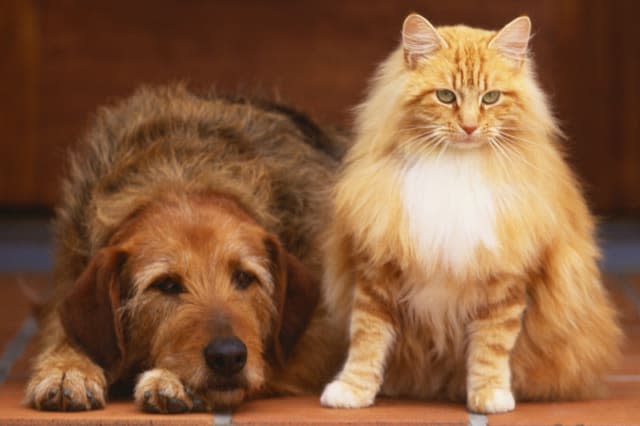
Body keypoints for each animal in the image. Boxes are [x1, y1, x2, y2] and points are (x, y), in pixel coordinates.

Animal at [25, 85, 342, 414]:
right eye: (166, 284)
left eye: (244, 277)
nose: (228, 356)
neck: (181, 173)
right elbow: (68, 335)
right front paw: (68, 369)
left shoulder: (317, 345)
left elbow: (271, 364)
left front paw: (175, 380)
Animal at [322, 14, 624, 416]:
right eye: (446, 96)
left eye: (490, 97)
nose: (468, 127)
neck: (455, 165)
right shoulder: (378, 272)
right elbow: (366, 341)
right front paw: (352, 391)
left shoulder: (504, 283)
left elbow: (490, 348)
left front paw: (489, 396)